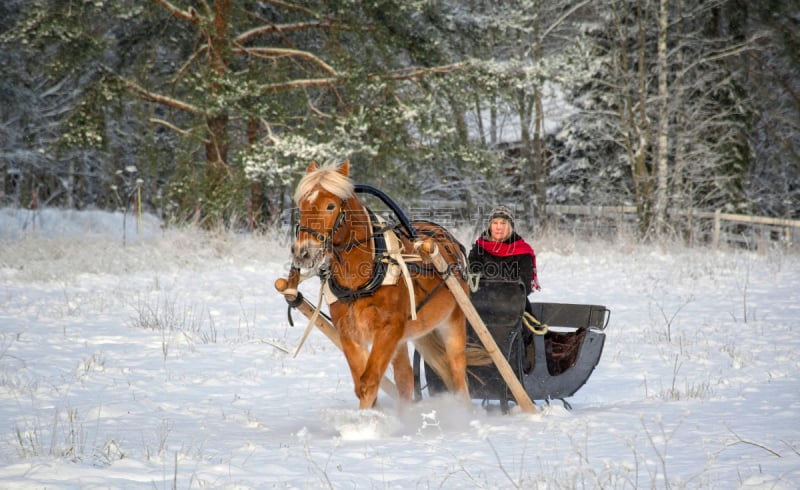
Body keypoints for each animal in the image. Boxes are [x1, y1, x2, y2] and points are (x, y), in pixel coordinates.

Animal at [292, 161, 468, 410]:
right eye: (301, 204)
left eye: (330, 205)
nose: (302, 252)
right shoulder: (349, 331)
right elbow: (361, 383)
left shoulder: (388, 329)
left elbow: (369, 381)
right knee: (407, 377)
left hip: (453, 319)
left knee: (457, 368)